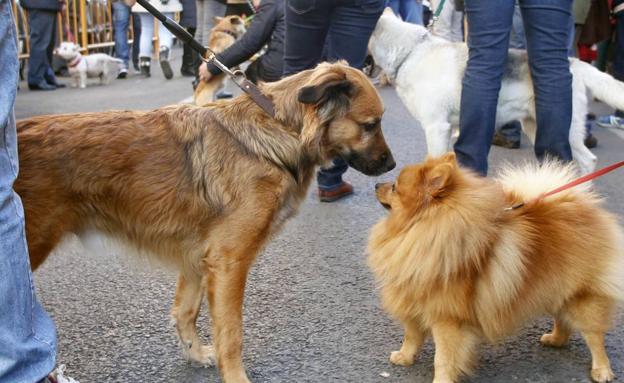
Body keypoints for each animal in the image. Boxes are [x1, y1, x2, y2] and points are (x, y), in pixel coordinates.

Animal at [17, 61, 394, 382]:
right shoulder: (230, 262)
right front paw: (236, 377)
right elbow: (231, 332)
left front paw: (195, 354)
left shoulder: (198, 257)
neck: (281, 128)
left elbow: (185, 312)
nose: (391, 166)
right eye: (371, 124)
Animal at [370, 9, 624, 174]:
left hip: (568, 132)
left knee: (589, 161)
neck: (411, 52)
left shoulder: (436, 128)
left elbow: (434, 162)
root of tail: (574, 63)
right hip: (536, 127)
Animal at [370, 154, 624, 383]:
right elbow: (411, 336)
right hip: (557, 288)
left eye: (394, 187)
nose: (376, 184)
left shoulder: (447, 318)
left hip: (584, 299)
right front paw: (404, 357)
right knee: (563, 319)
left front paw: (441, 380)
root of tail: (580, 206)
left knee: (595, 336)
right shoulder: (413, 300)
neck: (420, 231)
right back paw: (555, 340)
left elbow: (443, 358)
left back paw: (601, 370)